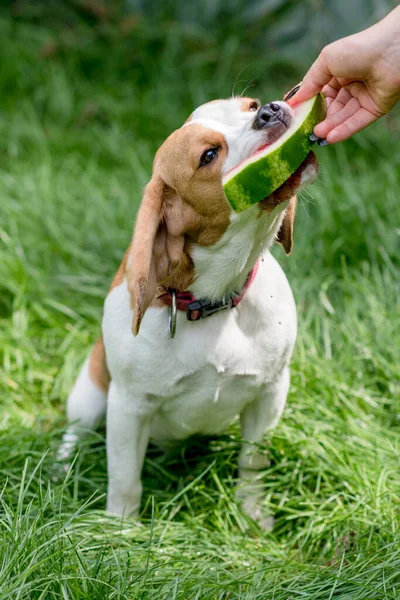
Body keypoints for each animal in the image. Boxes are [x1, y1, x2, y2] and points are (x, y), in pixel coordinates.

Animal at [57, 95, 318, 528]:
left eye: (250, 106)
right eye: (209, 156)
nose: (270, 109)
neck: (218, 302)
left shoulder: (270, 392)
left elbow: (252, 462)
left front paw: (253, 514)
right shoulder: (128, 408)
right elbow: (125, 480)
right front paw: (122, 530)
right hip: (89, 393)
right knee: (75, 432)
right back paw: (60, 467)